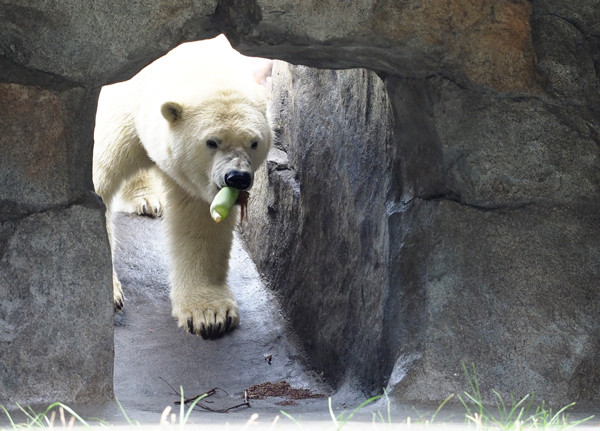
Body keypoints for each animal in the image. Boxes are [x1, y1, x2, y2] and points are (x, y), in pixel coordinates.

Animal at [92, 36, 274, 340]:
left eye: (254, 142)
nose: (237, 178)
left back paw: (148, 199)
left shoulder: (197, 183)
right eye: (212, 142)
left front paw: (210, 315)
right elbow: (98, 183)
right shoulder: (118, 111)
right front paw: (110, 292)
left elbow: (200, 224)